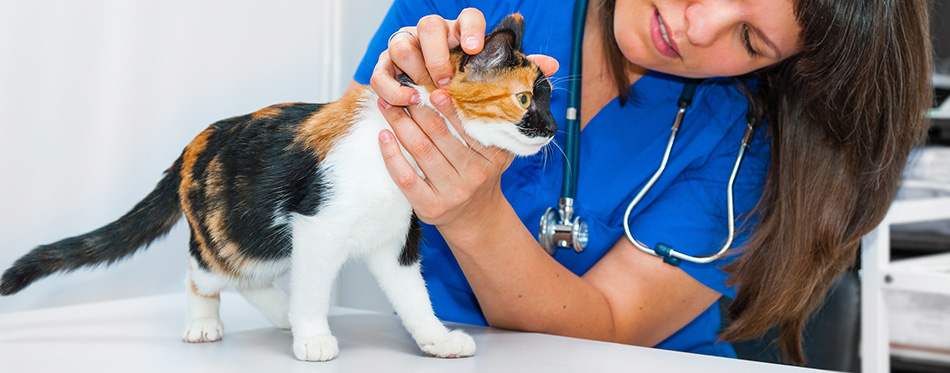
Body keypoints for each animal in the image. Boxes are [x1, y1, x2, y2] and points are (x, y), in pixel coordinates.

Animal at [0, 14, 556, 360]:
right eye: (524, 98)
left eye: (549, 101)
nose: (552, 129)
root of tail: (196, 144)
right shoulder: (317, 226)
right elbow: (312, 290)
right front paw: (313, 338)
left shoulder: (394, 240)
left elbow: (414, 297)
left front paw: (436, 341)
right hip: (233, 230)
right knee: (203, 271)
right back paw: (204, 322)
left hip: (266, 239)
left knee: (251, 278)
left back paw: (279, 315)